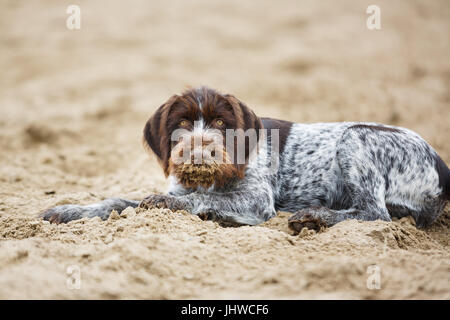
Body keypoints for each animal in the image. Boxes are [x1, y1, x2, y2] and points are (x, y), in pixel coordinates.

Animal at [40, 86, 448, 232]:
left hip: (355, 138)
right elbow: (119, 201)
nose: (199, 149)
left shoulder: (256, 197)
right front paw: (69, 210)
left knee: (374, 214)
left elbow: (193, 199)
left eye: (222, 123)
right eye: (181, 124)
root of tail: (443, 170)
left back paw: (315, 217)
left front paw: (193, 207)